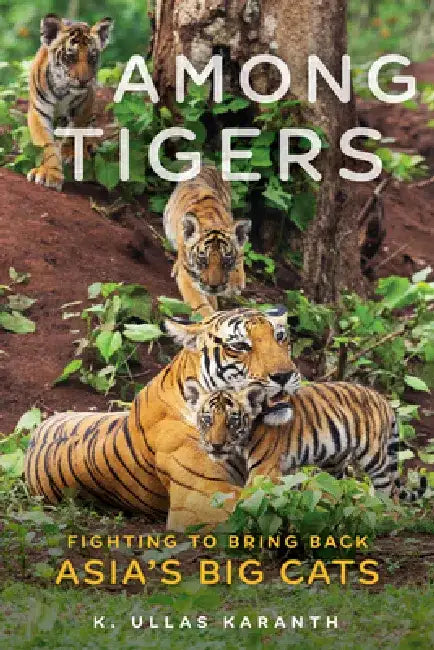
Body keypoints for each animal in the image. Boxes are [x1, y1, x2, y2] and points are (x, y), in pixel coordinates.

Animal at [27, 14, 113, 191]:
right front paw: (50, 173)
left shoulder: (84, 105)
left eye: (92, 57)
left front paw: (71, 153)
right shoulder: (38, 111)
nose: (84, 80)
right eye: (70, 57)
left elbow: (76, 132)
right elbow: (46, 144)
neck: (62, 90)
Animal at [185, 380, 427, 502]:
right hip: (335, 462)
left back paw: (384, 518)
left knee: (390, 490)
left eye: (232, 421)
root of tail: (383, 399)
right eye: (207, 420)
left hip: (373, 457)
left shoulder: (263, 471)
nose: (216, 445)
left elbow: (247, 498)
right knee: (334, 488)